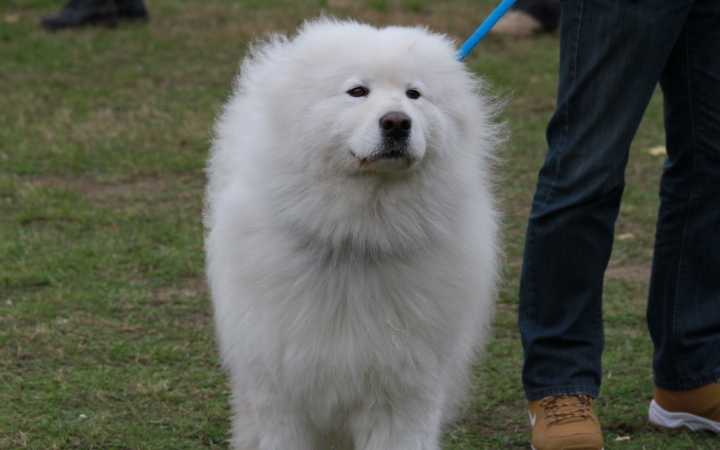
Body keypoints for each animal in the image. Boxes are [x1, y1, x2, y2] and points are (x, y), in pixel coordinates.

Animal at [204, 18, 500, 450]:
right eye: (357, 91)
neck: (358, 236)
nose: (397, 122)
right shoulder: (283, 395)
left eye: (414, 94)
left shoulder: (404, 398)